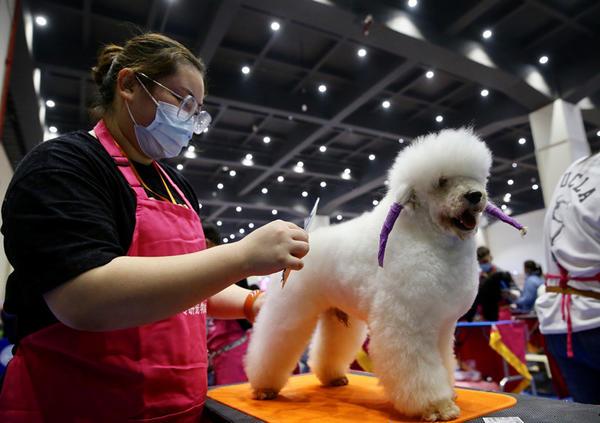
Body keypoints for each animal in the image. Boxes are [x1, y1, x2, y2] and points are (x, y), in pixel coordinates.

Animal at [244, 127, 492, 422]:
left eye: (476, 178)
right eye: (442, 182)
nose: (475, 195)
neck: (426, 234)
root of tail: (306, 240)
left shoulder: (443, 326)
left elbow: (444, 360)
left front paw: (449, 394)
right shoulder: (408, 323)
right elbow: (419, 369)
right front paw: (436, 406)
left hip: (338, 316)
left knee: (329, 347)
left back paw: (333, 377)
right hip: (290, 308)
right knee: (273, 342)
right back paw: (264, 387)